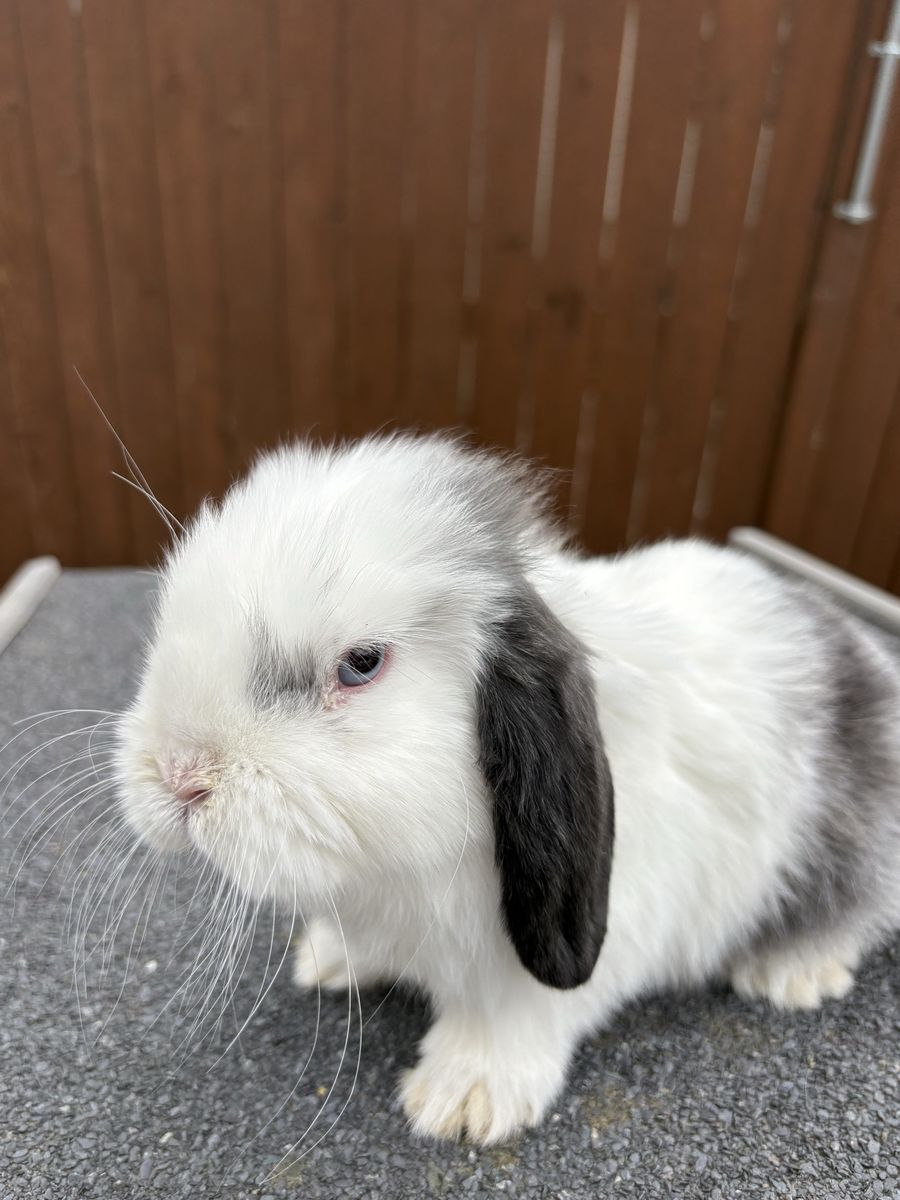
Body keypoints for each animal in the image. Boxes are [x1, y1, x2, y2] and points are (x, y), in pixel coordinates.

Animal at [115, 432, 900, 1144]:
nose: (179, 776)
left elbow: (515, 1015)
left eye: (362, 664)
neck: (391, 875)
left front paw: (463, 1100)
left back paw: (792, 973)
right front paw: (329, 960)